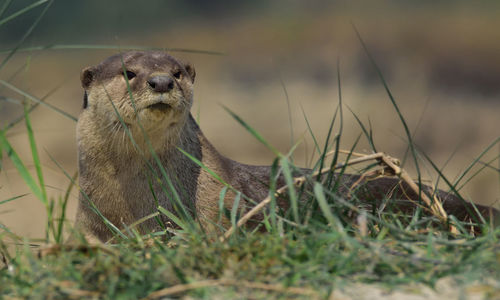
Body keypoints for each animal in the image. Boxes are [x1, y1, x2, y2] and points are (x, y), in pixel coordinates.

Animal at [76, 49, 498, 241]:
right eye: (129, 73)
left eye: (178, 72)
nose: (162, 82)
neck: (138, 206)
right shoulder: (91, 225)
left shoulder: (220, 209)